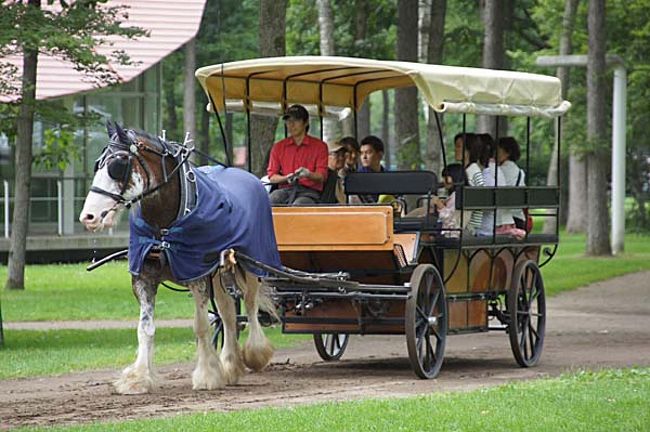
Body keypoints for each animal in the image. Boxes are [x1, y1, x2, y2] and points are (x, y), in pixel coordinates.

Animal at [78, 122, 278, 394]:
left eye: (118, 165)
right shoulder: (144, 277)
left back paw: (254, 353)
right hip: (219, 272)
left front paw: (207, 375)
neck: (165, 227)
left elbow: (201, 325)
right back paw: (230, 365)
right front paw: (138, 377)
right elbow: (145, 328)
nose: (88, 217)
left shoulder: (196, 275)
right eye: (97, 164)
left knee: (249, 304)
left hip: (251, 265)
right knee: (228, 314)